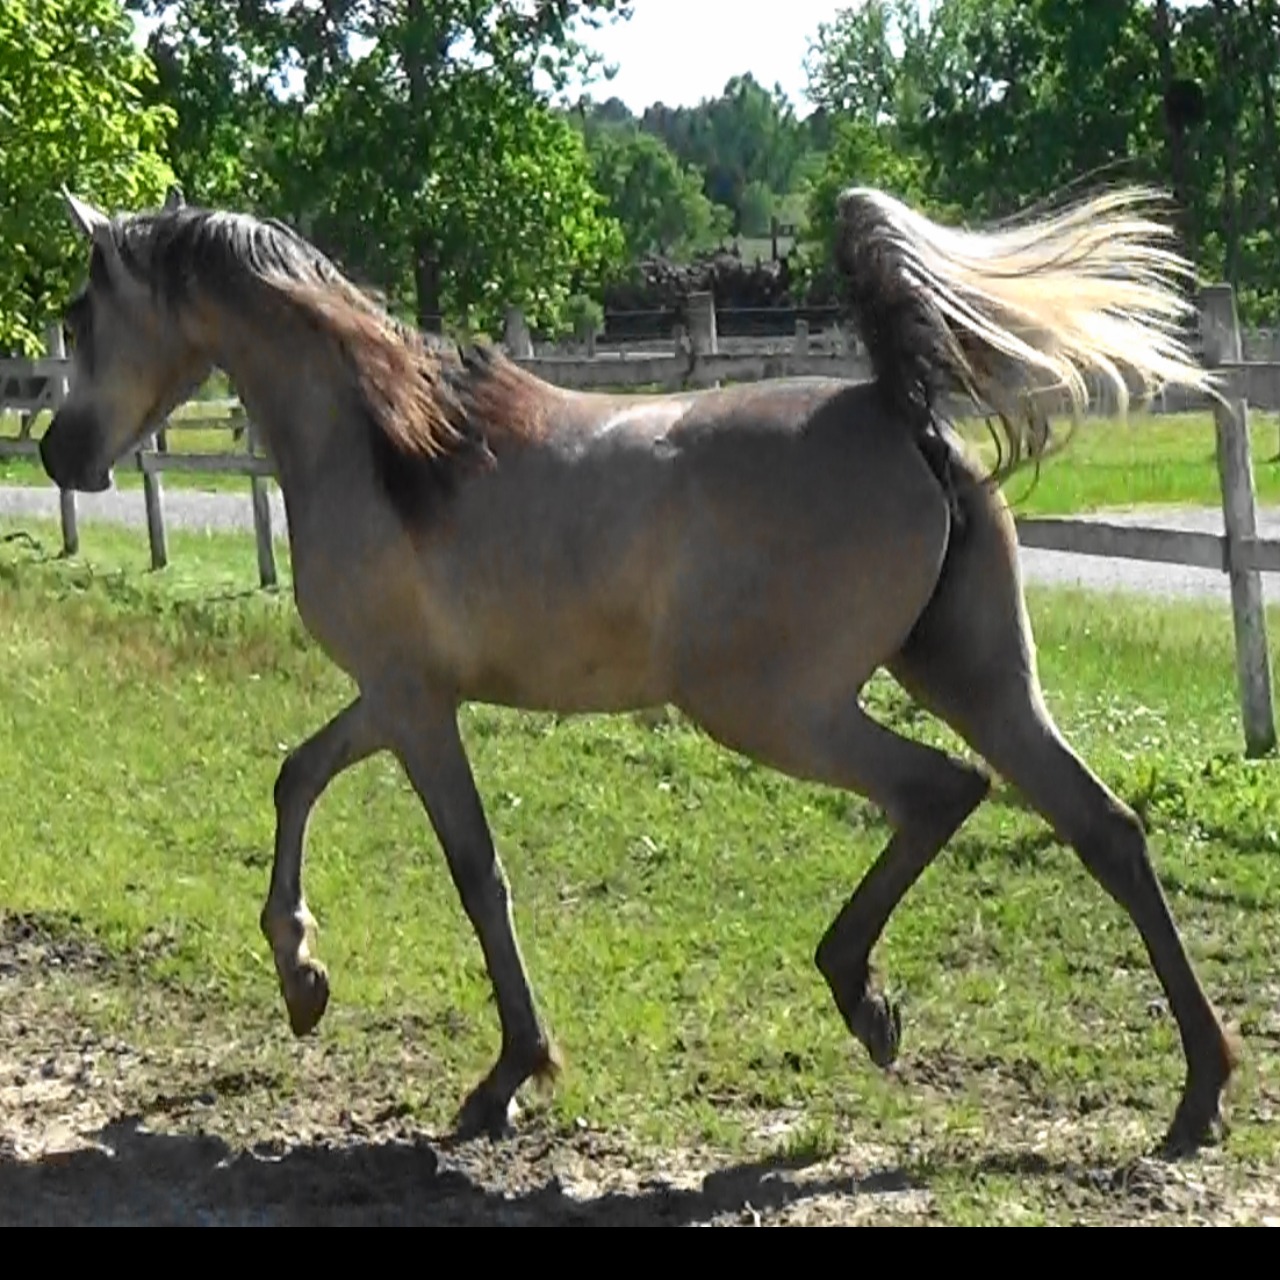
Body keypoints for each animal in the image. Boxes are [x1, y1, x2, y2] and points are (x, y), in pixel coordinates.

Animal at [42, 183, 1239, 1162]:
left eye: (78, 314)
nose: (58, 454)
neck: (388, 448)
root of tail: (904, 415)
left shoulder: (412, 703)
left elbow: (472, 869)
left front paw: (501, 1073)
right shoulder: (394, 696)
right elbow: (296, 777)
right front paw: (303, 982)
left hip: (772, 707)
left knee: (943, 789)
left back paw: (863, 998)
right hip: (973, 677)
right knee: (1103, 828)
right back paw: (1197, 1092)